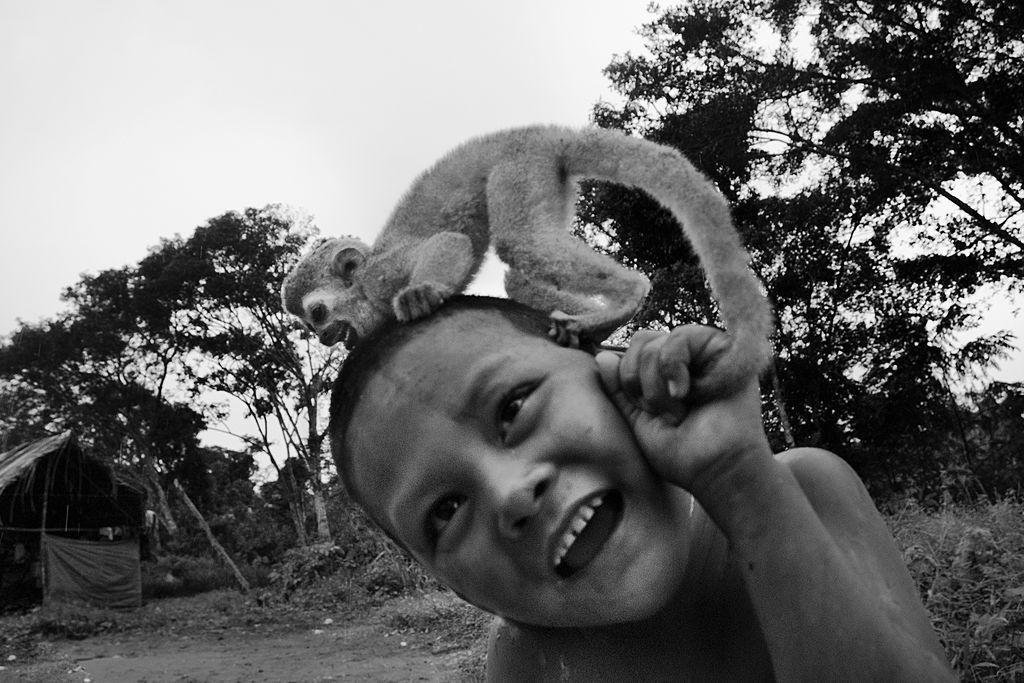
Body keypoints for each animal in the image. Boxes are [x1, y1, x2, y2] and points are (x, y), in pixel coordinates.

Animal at [281, 124, 773, 397]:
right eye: (310, 326)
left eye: (317, 314)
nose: (323, 338)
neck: (365, 291)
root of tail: (549, 133)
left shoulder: (381, 276)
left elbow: (449, 244)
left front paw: (423, 294)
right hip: (546, 179)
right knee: (520, 273)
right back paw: (599, 324)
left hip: (518, 167)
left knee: (520, 244)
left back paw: (627, 298)